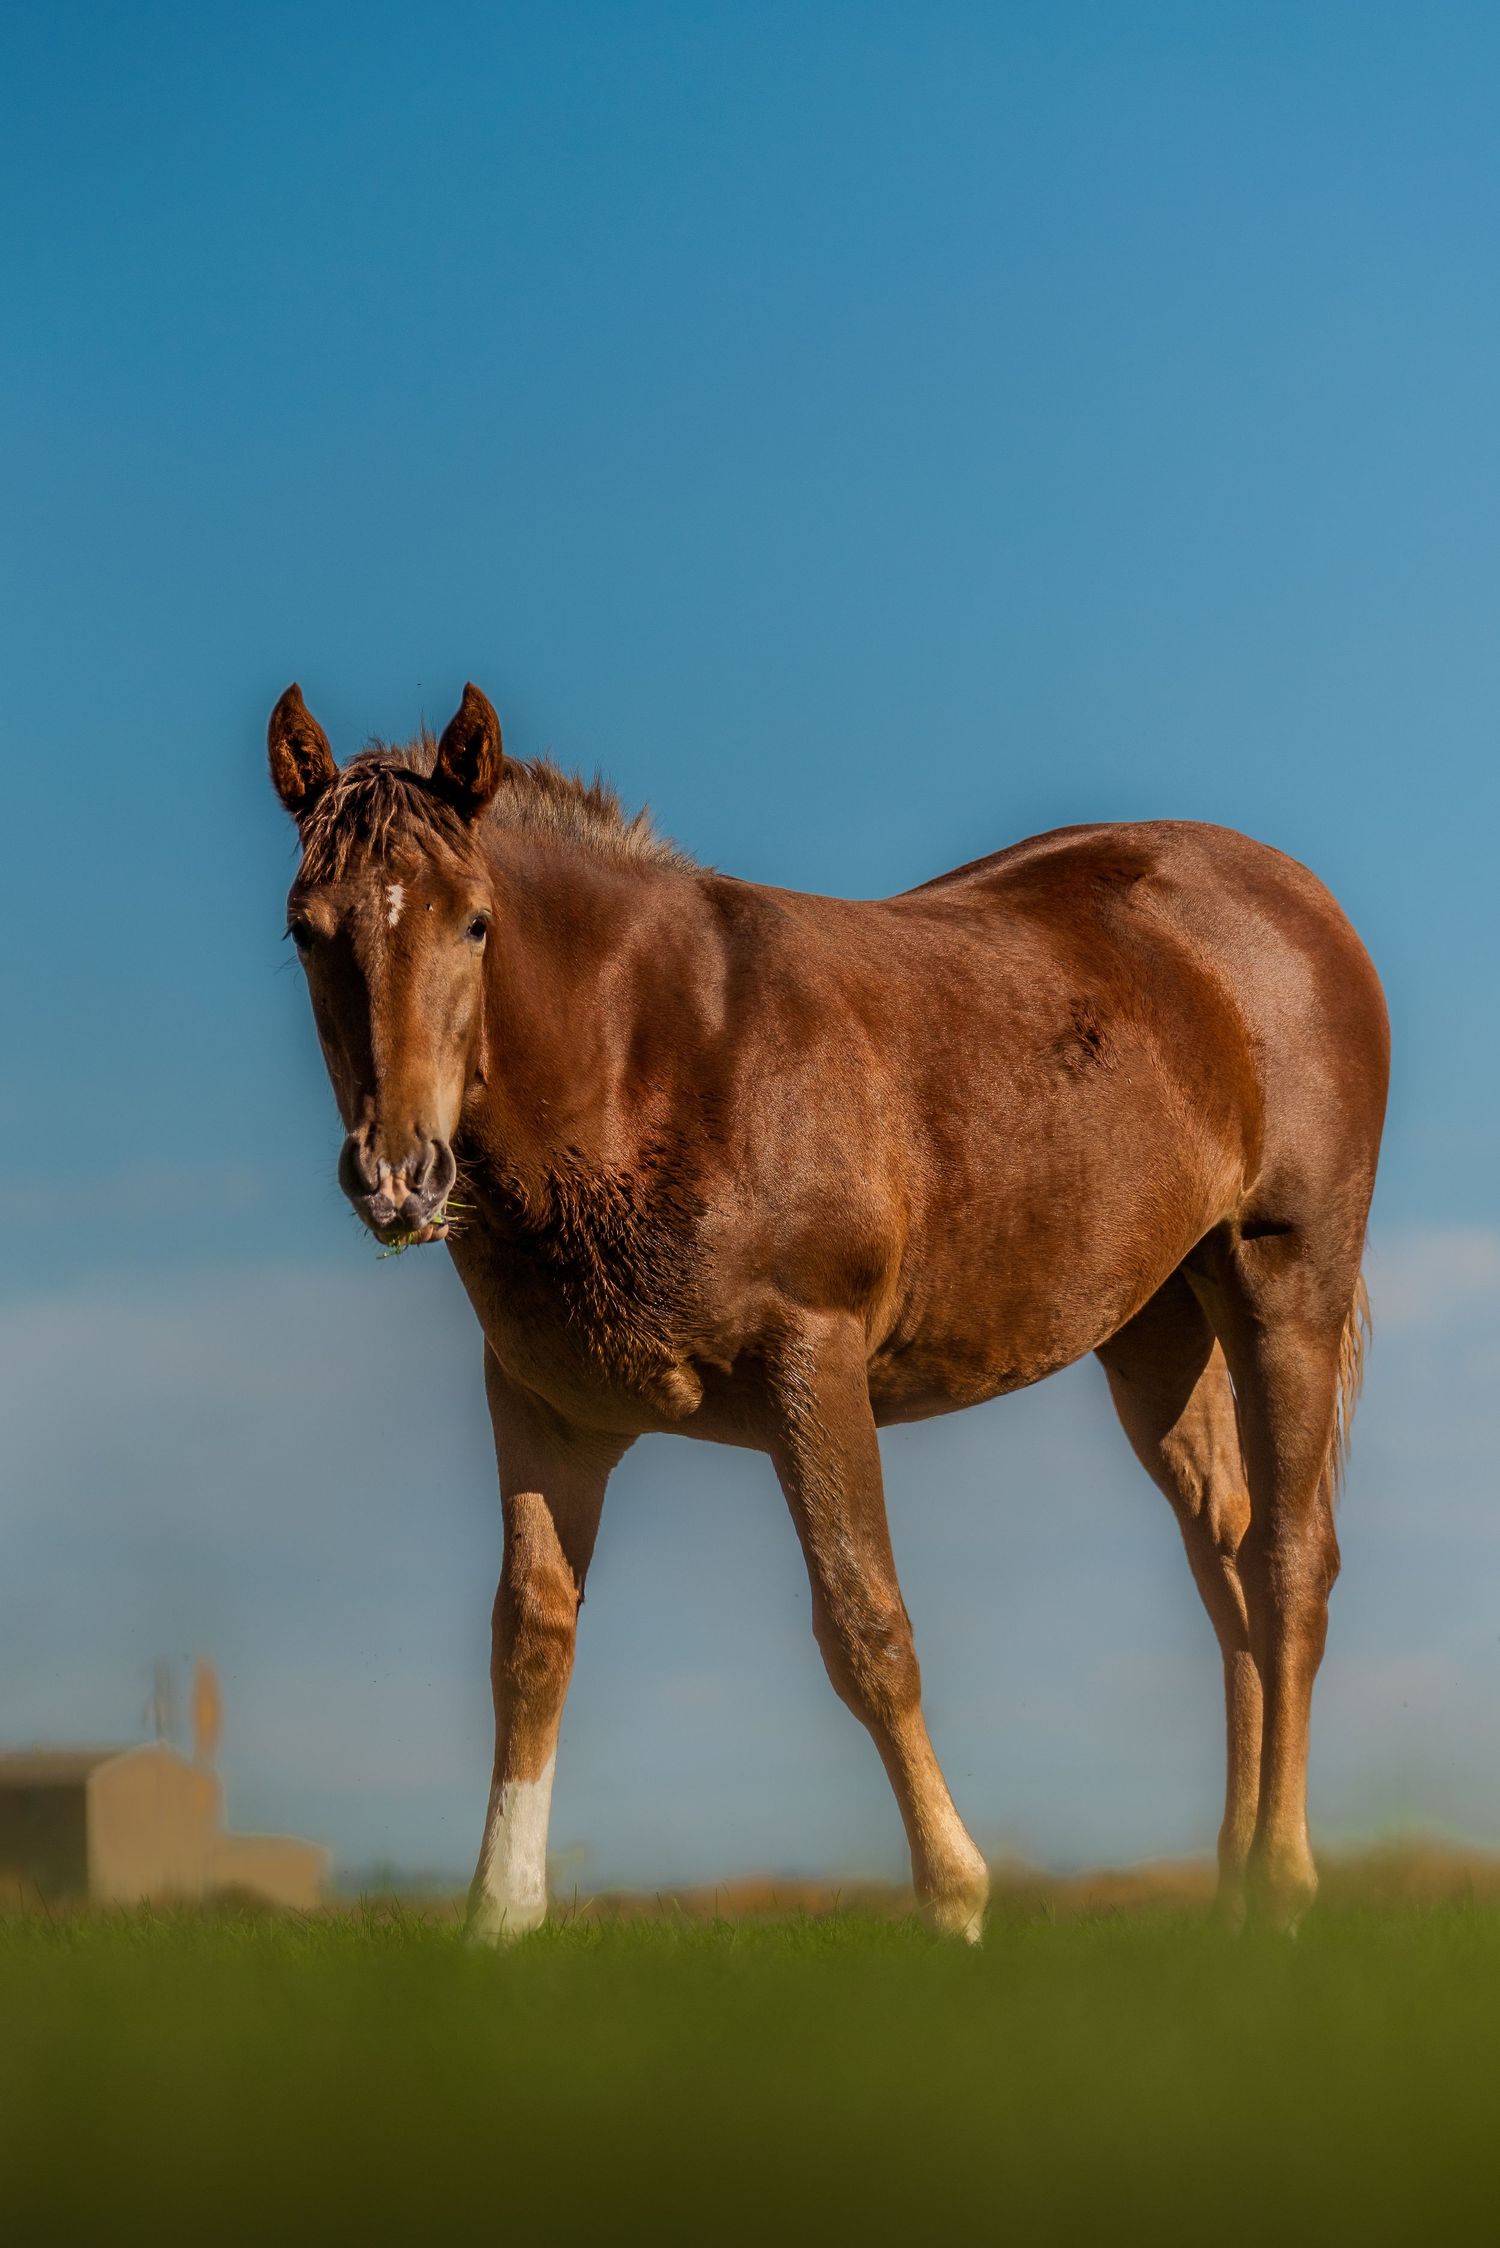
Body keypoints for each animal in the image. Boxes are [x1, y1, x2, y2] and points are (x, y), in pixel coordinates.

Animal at [267, 680, 1388, 1941]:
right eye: (306, 930)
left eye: (473, 923)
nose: (400, 1175)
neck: (645, 1053)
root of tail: (1294, 898)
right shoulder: (546, 1411)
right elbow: (530, 1639)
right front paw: (498, 1918)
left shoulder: (814, 1364)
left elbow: (867, 1629)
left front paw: (955, 1896)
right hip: (1156, 1330)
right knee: (1223, 1561)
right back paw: (1236, 1890)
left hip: (1285, 1283)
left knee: (1291, 1565)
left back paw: (1284, 1883)